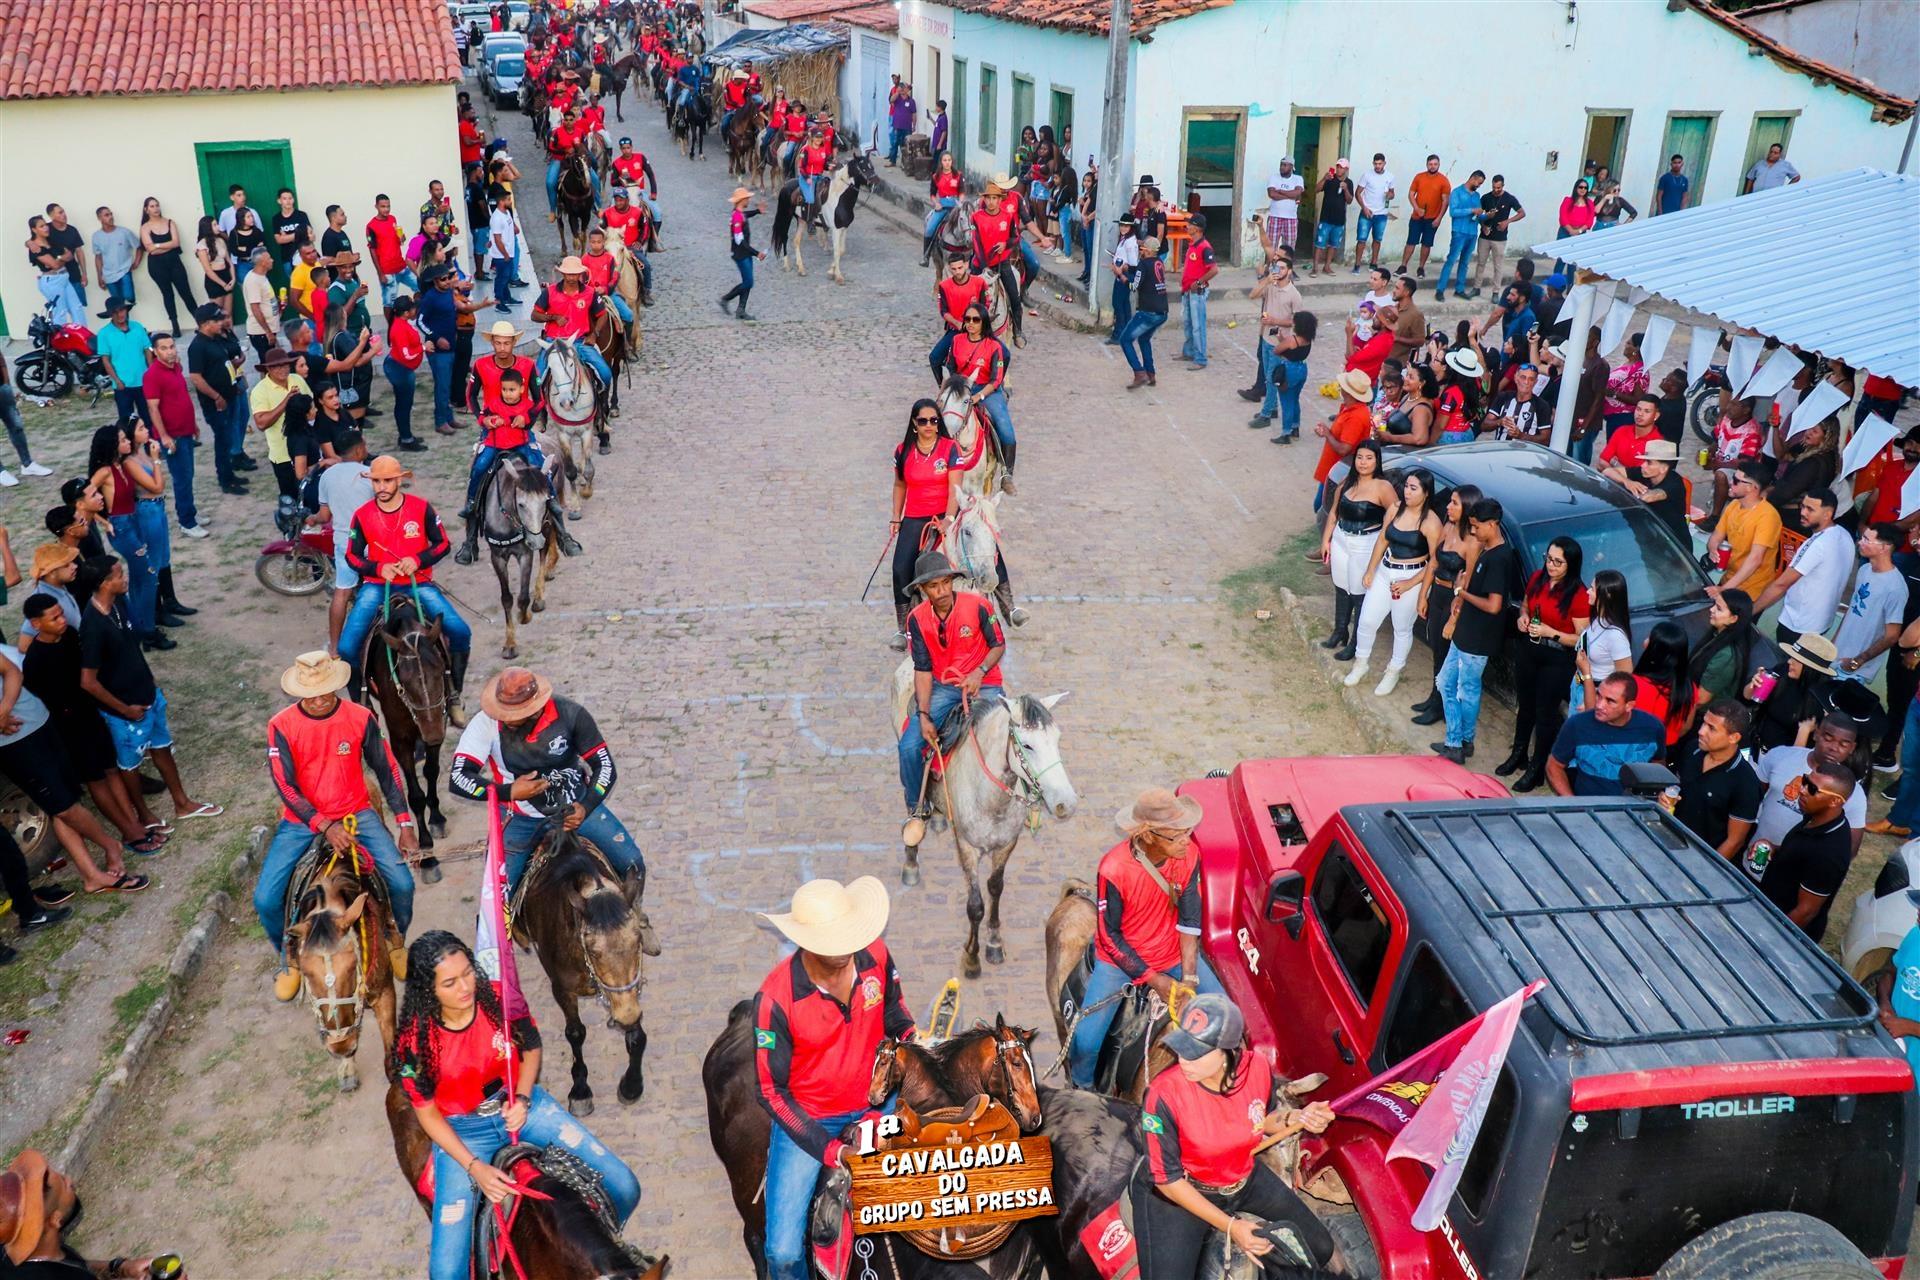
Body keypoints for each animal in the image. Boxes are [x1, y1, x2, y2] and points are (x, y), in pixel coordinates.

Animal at [364, 598, 450, 858]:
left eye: (441, 668)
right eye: (403, 678)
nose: (431, 734)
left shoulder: (438, 725)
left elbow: (431, 771)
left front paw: (437, 818)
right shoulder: (400, 739)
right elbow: (414, 794)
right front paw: (424, 839)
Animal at [482, 451, 565, 660]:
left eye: (545, 501)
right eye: (521, 504)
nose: (535, 540)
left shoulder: (525, 554)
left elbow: (523, 597)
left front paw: (524, 615)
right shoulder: (497, 557)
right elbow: (506, 599)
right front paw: (510, 645)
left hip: (545, 529)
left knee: (544, 555)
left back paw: (540, 596)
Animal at [514, 831, 654, 1116]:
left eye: (637, 940)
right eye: (593, 950)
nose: (624, 1015)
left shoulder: (628, 992)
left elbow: (636, 1036)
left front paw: (631, 1086)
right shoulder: (562, 989)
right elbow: (576, 1033)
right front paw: (580, 1091)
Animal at [886, 679, 1077, 978]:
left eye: (1057, 739)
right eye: (1027, 745)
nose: (1066, 804)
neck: (990, 797)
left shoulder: (1007, 843)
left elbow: (996, 888)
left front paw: (994, 944)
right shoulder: (967, 847)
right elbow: (975, 905)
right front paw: (972, 957)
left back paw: (939, 818)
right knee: (913, 807)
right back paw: (911, 861)